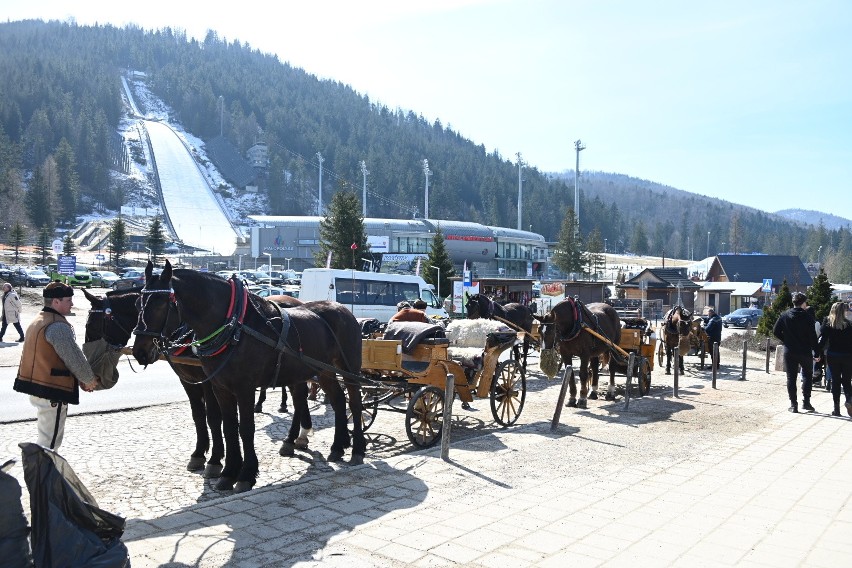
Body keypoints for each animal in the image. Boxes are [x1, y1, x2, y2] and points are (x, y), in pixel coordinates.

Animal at [80, 288, 223, 480]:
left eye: (92, 325)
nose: (90, 368)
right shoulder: (188, 381)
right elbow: (198, 415)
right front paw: (198, 454)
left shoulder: (210, 382)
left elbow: (213, 417)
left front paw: (215, 459)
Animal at [131, 262, 364, 492]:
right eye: (137, 303)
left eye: (161, 304)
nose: (140, 352)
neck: (235, 326)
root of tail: (343, 308)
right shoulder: (219, 387)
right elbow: (228, 427)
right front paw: (228, 473)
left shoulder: (244, 388)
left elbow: (245, 428)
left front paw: (245, 474)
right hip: (323, 370)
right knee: (337, 400)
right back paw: (337, 446)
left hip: (349, 368)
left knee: (354, 402)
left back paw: (357, 450)